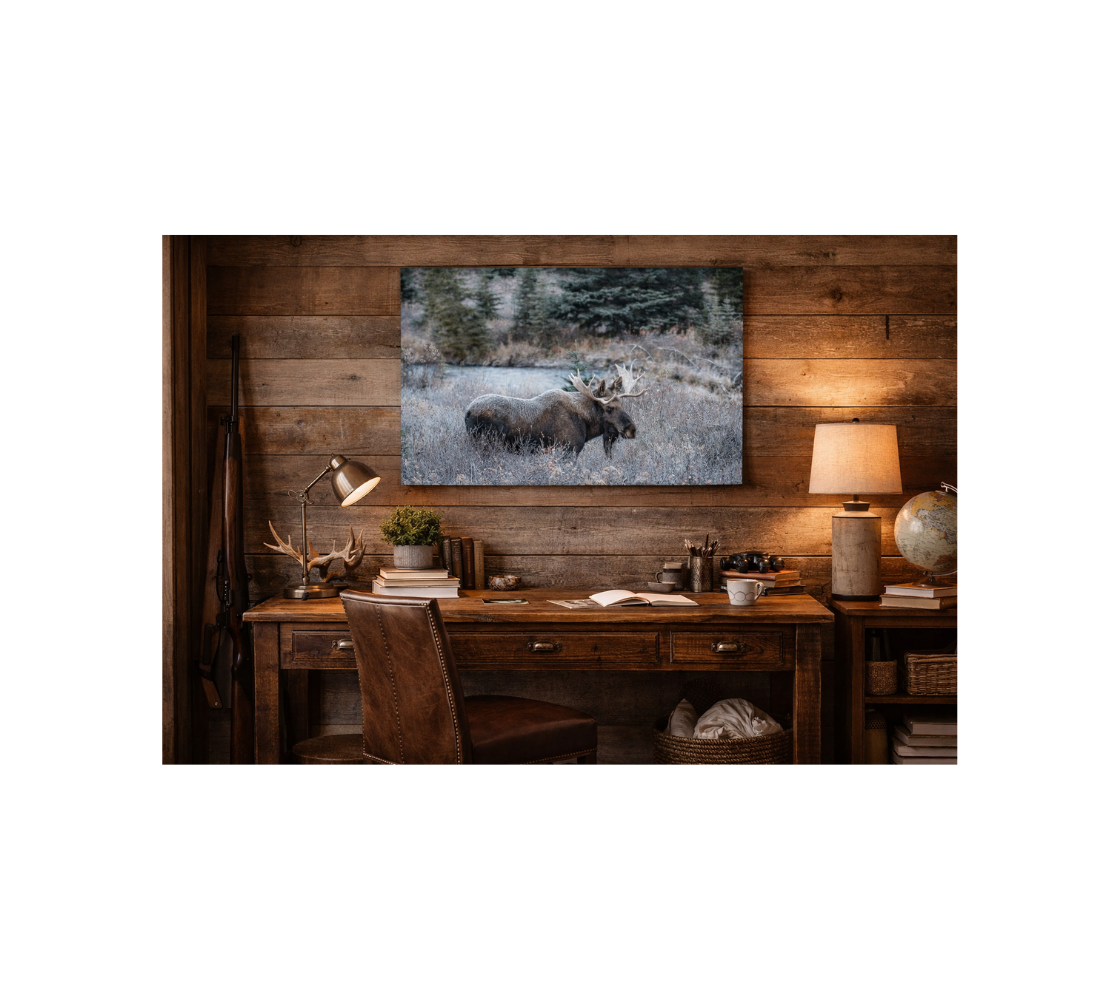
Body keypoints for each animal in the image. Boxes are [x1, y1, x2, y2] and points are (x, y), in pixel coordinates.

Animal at [465, 364, 647, 457]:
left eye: (623, 404)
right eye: (609, 407)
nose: (632, 429)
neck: (587, 425)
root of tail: (467, 413)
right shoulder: (569, 449)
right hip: (486, 444)